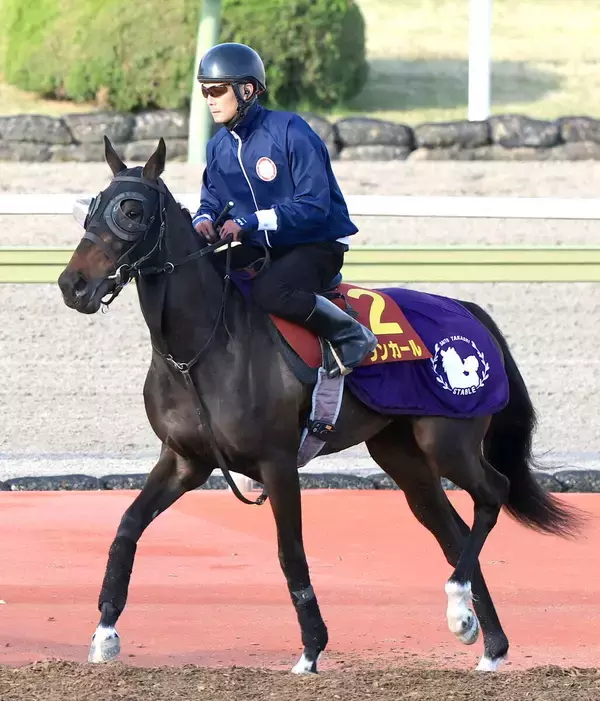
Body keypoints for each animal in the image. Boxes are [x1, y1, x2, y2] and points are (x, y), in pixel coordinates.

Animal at [57, 136, 583, 674]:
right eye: (92, 206)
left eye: (131, 210)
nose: (72, 284)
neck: (201, 348)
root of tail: (469, 310)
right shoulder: (185, 460)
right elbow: (127, 527)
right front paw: (105, 632)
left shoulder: (277, 463)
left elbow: (290, 553)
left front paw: (311, 649)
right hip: (403, 456)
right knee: (451, 528)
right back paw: (487, 640)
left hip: (448, 439)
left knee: (493, 493)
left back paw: (462, 610)